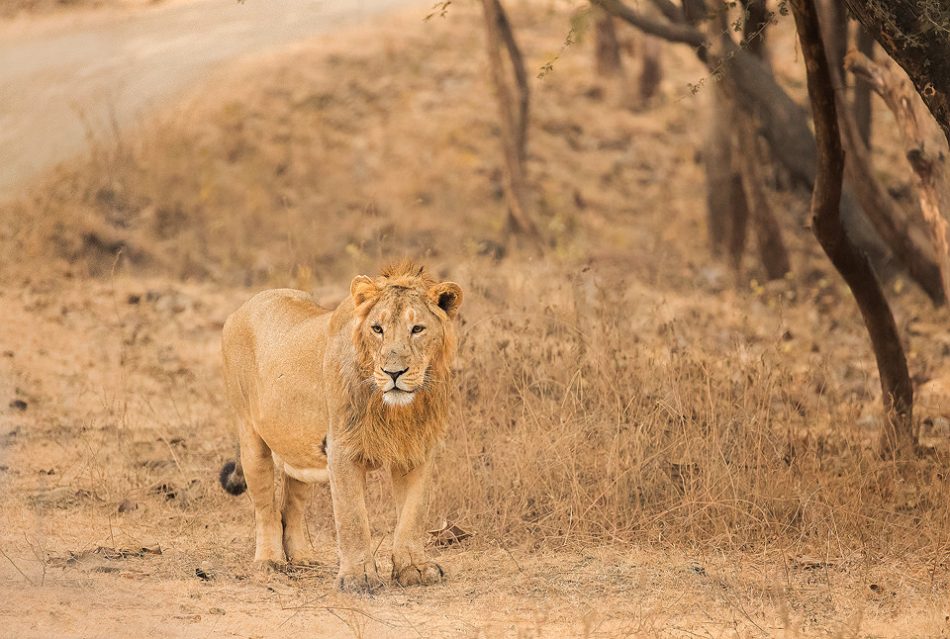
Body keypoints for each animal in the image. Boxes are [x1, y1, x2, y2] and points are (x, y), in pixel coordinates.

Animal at [219, 262, 464, 596]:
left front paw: (414, 568)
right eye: (377, 329)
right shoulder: (342, 450)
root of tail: (243, 307)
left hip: (302, 450)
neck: (396, 410)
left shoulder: (417, 451)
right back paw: (270, 562)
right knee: (266, 508)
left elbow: (413, 514)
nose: (394, 373)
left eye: (417, 329)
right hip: (251, 436)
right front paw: (359, 578)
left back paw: (302, 558)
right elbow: (353, 518)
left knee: (290, 507)